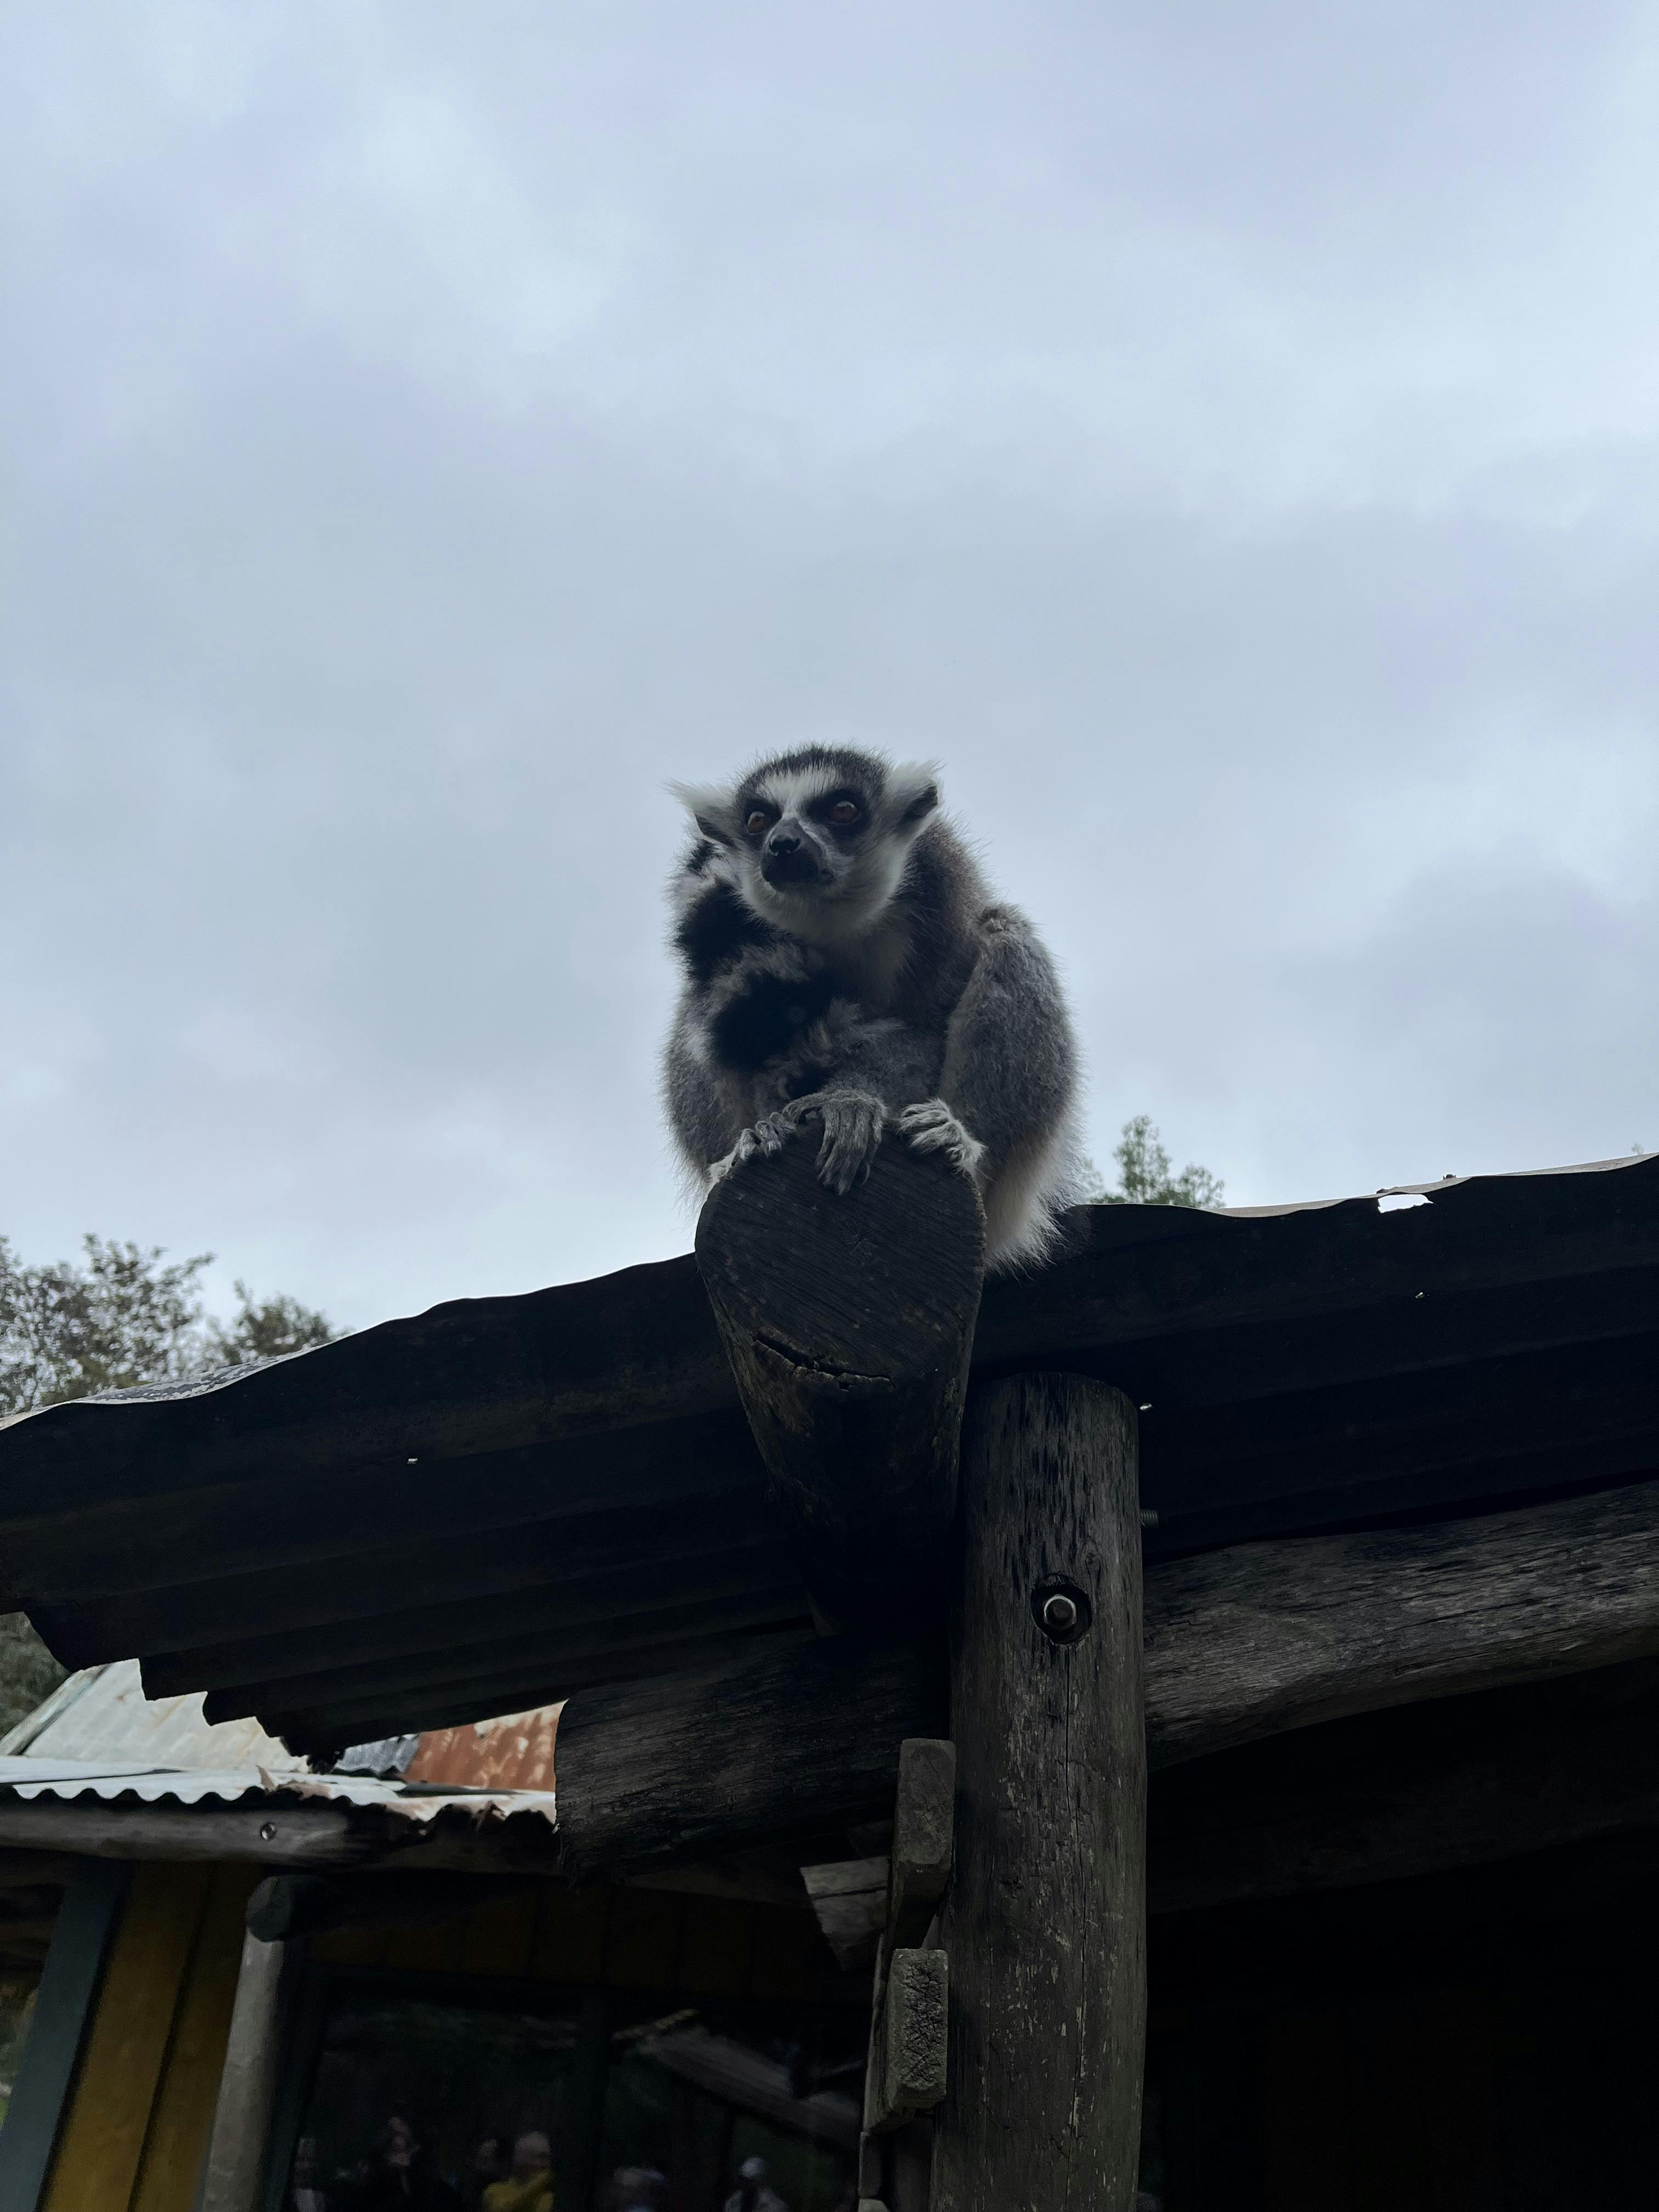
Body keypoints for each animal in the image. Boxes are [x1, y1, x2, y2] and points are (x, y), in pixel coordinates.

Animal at [662, 744, 1081, 1270]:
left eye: (842, 811)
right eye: (758, 820)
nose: (783, 844)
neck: (829, 921)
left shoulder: (940, 899)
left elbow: (922, 1030)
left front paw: (848, 1101)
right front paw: (767, 1127)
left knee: (1005, 938)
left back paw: (962, 1144)